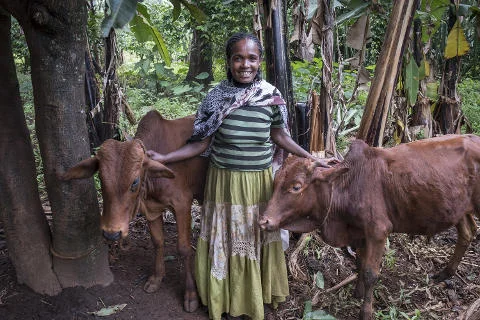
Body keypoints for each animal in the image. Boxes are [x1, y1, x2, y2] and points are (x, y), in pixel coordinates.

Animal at [62, 110, 208, 312]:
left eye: (135, 182)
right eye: (101, 178)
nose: (112, 233)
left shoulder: (182, 204)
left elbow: (184, 248)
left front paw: (191, 294)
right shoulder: (153, 209)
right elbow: (158, 242)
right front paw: (156, 278)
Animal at [260, 135, 480, 320]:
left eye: (296, 187)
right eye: (275, 182)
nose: (264, 221)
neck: (349, 184)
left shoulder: (378, 232)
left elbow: (370, 273)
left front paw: (366, 311)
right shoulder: (360, 233)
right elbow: (359, 263)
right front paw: (357, 293)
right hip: (458, 209)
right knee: (467, 232)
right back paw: (446, 273)